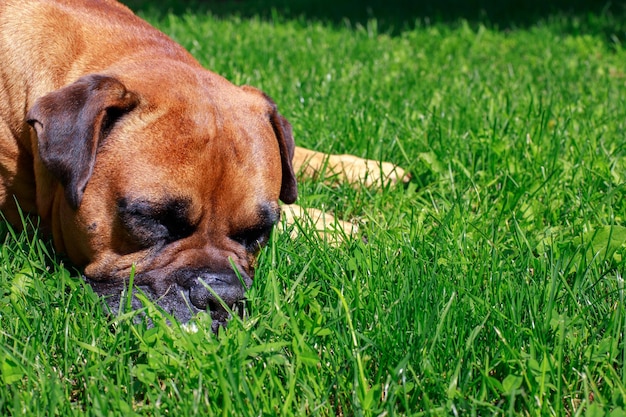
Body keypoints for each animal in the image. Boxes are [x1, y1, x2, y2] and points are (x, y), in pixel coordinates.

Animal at [0, 0, 404, 330]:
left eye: (258, 232)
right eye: (153, 219)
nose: (220, 296)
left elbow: (298, 155)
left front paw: (369, 170)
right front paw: (335, 225)